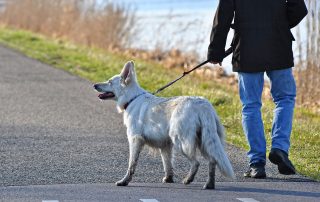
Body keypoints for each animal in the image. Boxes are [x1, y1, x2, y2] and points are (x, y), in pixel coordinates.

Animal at [92, 60, 235, 189]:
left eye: (109, 82)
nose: (94, 85)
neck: (132, 99)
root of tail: (202, 104)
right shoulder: (165, 145)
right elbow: (167, 164)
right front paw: (169, 179)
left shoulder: (135, 140)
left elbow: (131, 165)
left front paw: (124, 181)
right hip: (205, 141)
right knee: (212, 161)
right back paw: (209, 184)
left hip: (181, 142)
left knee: (196, 162)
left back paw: (188, 179)